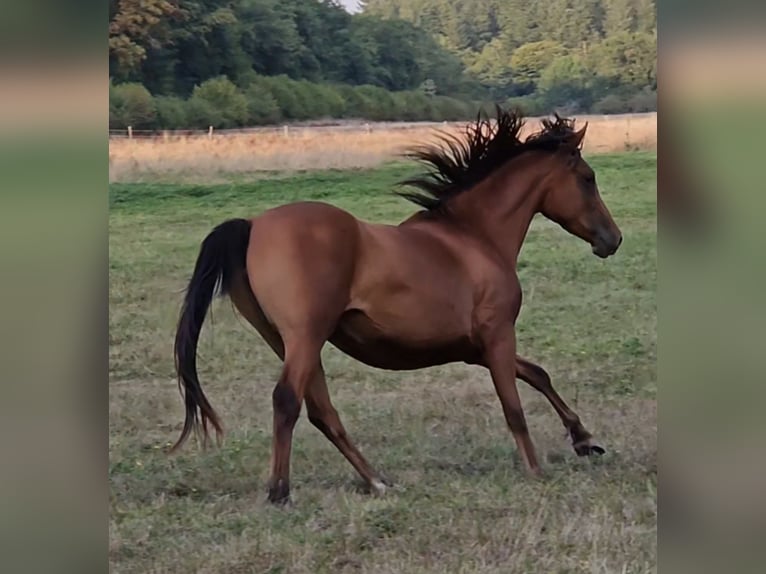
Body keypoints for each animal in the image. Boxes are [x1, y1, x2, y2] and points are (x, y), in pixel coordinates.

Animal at [171, 107, 623, 504]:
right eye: (588, 178)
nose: (612, 239)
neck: (474, 237)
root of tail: (252, 226)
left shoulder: (473, 348)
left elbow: (537, 374)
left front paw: (584, 440)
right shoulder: (497, 336)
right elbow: (514, 405)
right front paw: (535, 470)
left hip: (288, 342)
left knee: (321, 411)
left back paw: (376, 481)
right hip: (305, 337)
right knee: (287, 401)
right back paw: (280, 491)